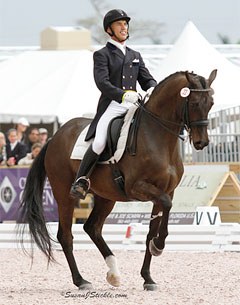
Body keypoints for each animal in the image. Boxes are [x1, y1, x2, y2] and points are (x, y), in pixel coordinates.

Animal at [18, 68, 217, 290]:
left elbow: (153, 227)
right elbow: (166, 205)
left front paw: (148, 277)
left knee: (92, 228)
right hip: (64, 194)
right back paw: (81, 281)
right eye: (194, 103)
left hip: (106, 197)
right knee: (66, 235)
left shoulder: (166, 190)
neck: (158, 137)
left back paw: (113, 273)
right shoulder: (138, 187)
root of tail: (55, 136)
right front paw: (158, 246)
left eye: (211, 103)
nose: (201, 142)